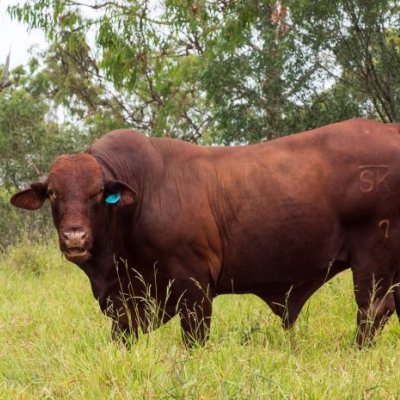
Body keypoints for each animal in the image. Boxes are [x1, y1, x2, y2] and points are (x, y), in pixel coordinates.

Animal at [9, 118, 400, 346]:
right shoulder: (127, 303)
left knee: (373, 310)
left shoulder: (194, 284)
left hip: (374, 257)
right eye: (54, 194)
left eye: (96, 194)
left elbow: (194, 337)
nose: (74, 237)